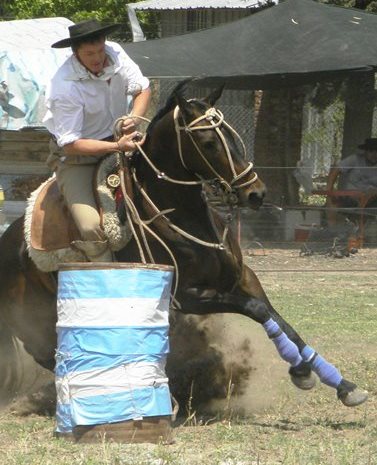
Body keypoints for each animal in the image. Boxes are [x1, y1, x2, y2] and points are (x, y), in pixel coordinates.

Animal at [0, 81, 368, 408]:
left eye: (230, 135)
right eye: (207, 142)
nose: (256, 193)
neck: (185, 217)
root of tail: (8, 241)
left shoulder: (243, 278)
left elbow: (282, 322)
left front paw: (340, 383)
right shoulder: (188, 296)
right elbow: (259, 310)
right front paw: (302, 370)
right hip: (37, 323)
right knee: (54, 355)